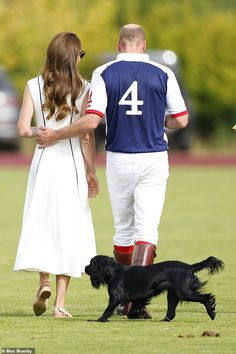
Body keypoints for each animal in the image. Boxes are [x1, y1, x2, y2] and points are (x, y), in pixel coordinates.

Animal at [84, 256, 223, 322]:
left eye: (91, 263)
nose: (85, 267)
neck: (114, 272)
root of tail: (189, 267)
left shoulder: (114, 299)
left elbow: (107, 311)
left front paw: (98, 320)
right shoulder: (138, 298)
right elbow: (134, 307)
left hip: (184, 293)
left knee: (206, 298)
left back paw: (212, 314)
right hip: (173, 294)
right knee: (171, 312)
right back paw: (164, 320)